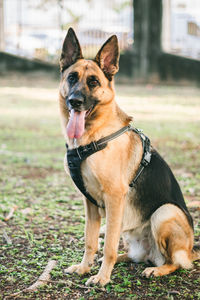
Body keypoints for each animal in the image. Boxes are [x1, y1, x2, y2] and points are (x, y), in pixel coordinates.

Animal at [58, 28, 199, 286]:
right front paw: (85, 268)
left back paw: (156, 269)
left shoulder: (114, 197)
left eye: (93, 82)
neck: (94, 136)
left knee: (175, 262)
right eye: (72, 78)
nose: (75, 101)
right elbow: (90, 240)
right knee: (137, 255)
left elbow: (108, 246)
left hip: (164, 213)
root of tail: (191, 249)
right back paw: (125, 259)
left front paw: (102, 278)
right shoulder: (89, 203)